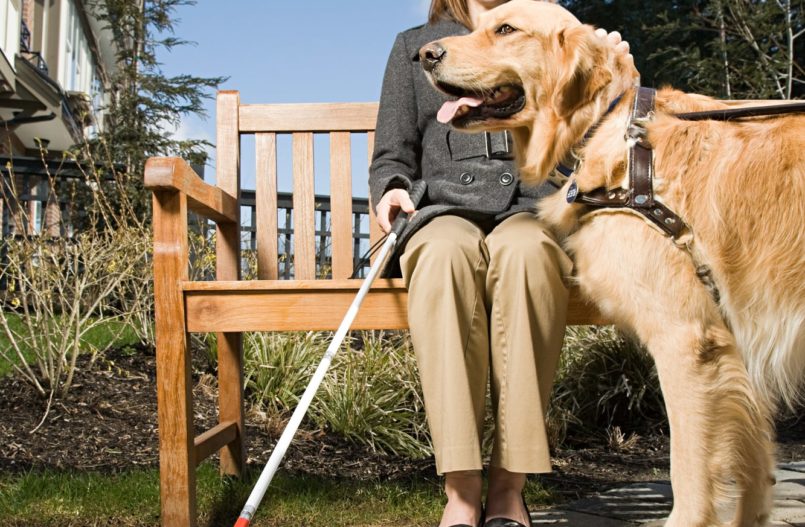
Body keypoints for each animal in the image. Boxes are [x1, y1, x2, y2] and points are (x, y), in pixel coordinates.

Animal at [418, 2, 800, 524]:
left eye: (506, 29)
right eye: (477, 27)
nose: (424, 54)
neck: (610, 134)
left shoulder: (687, 340)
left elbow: (691, 472)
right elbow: (752, 477)